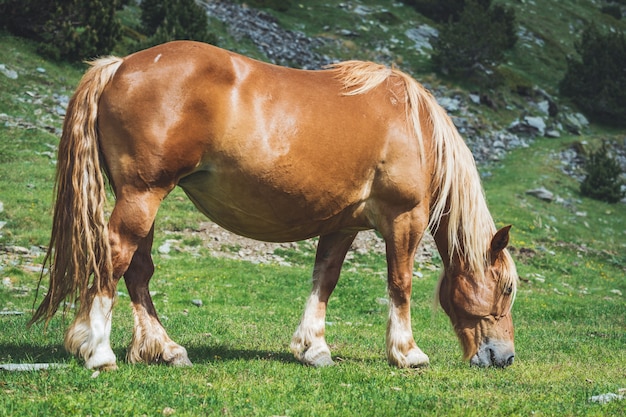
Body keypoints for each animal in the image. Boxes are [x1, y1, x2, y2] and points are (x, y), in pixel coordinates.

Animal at [30, 40, 516, 368]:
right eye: (508, 289)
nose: (505, 356)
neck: (414, 126)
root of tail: (118, 67)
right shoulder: (403, 219)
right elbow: (400, 284)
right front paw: (407, 353)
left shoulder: (343, 225)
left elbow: (325, 280)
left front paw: (314, 348)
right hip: (142, 195)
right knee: (114, 257)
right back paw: (98, 351)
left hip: (142, 198)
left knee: (137, 270)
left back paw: (165, 349)